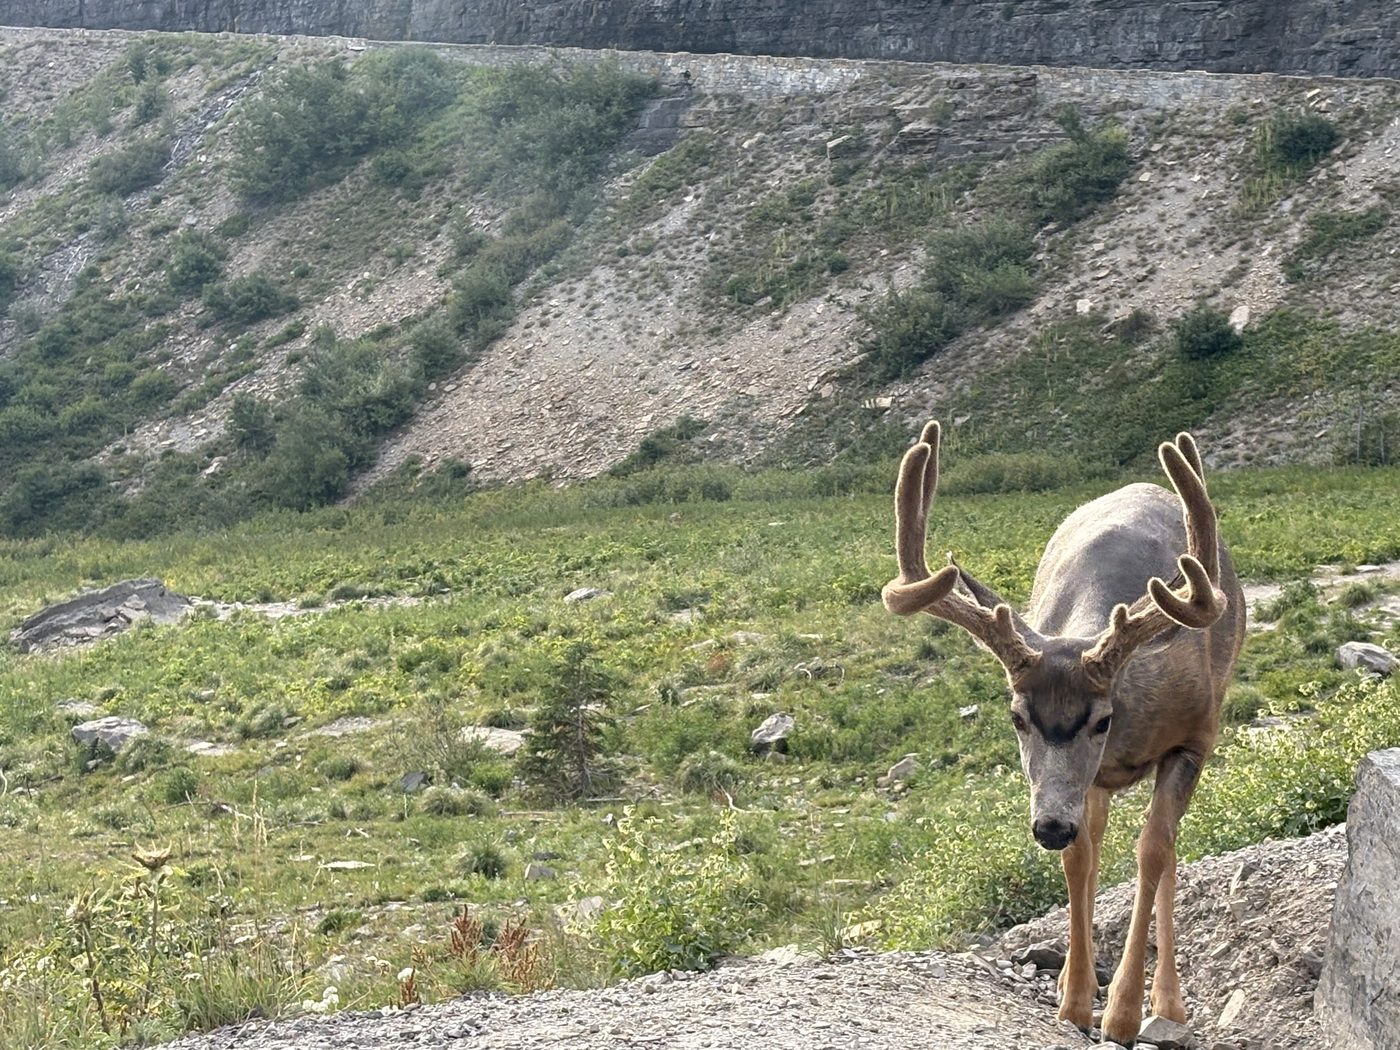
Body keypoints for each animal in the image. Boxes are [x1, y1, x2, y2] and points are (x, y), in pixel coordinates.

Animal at [881, 421, 1245, 1046]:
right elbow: (1081, 859)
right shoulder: (1081, 784)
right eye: (1016, 716)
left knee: (1166, 850)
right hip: (1089, 789)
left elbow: (1153, 850)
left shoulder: (1195, 737)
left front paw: (1123, 1013)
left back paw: (1167, 1002)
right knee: (1096, 842)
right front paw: (1074, 1002)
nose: (1048, 826)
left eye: (1103, 718)